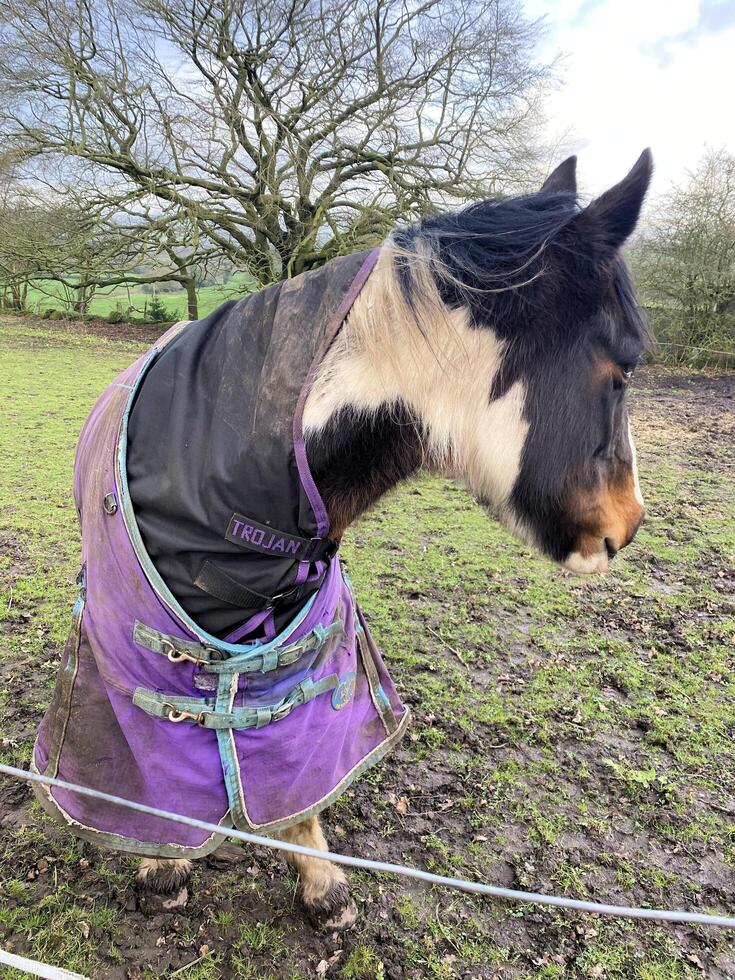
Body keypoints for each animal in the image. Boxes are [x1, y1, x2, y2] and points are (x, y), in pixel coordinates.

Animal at [36, 147, 648, 928]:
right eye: (622, 368)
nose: (627, 523)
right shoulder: (128, 646)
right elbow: (147, 775)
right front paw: (161, 864)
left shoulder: (305, 640)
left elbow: (296, 761)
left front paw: (321, 884)